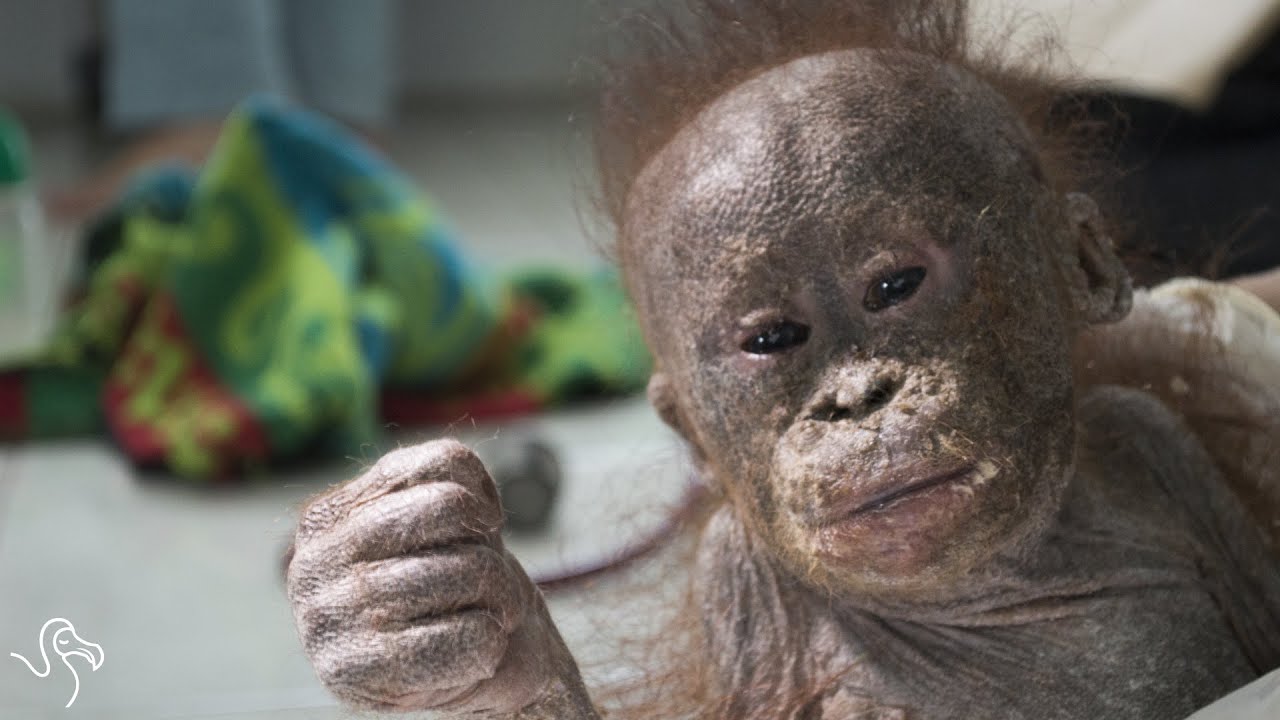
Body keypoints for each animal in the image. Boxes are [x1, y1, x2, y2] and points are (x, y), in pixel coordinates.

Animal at [284, 1, 1280, 718]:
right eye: (770, 339)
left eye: (896, 285)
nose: (857, 399)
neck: (1001, 586)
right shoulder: (740, 585)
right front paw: (462, 635)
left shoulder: (1152, 439)